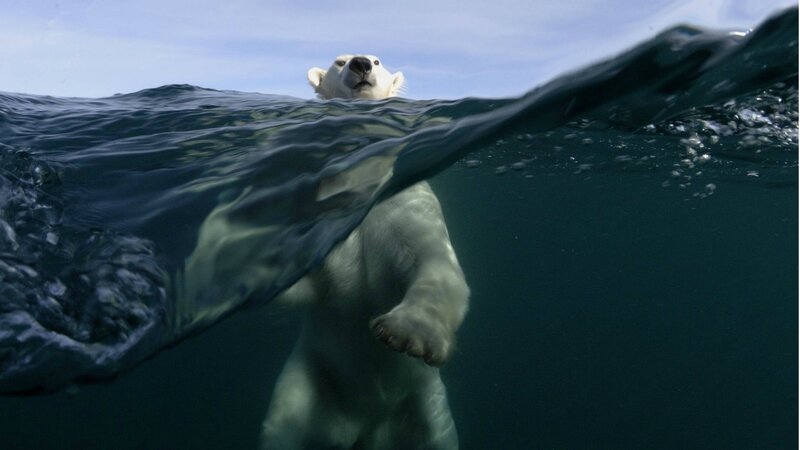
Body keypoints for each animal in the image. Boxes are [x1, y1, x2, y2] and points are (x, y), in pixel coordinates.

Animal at [260, 55, 469, 449]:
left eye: (377, 60)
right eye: (338, 61)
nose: (359, 64)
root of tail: (367, 428)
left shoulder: (405, 204)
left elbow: (434, 261)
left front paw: (406, 332)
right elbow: (307, 284)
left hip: (424, 403)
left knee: (437, 435)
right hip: (310, 380)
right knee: (283, 427)